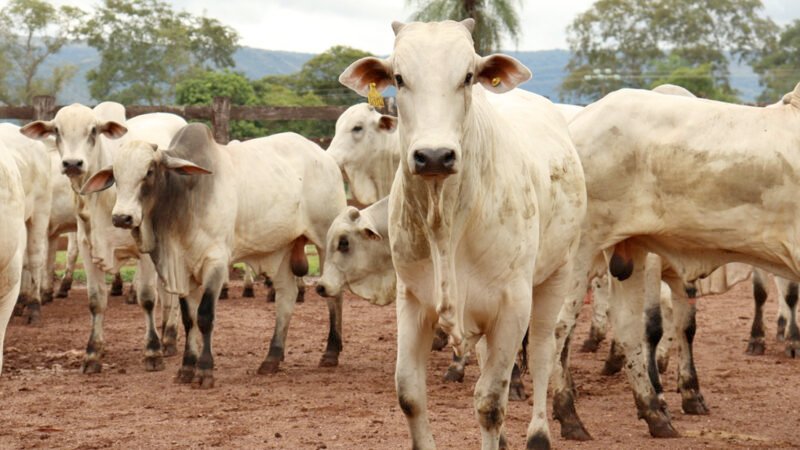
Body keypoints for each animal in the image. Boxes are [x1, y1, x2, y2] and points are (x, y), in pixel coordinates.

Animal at [20, 103, 184, 373]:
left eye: (93, 130)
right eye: (57, 130)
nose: (72, 163)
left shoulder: (145, 249)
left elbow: (147, 298)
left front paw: (152, 351)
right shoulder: (89, 247)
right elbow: (96, 300)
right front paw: (92, 354)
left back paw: (169, 337)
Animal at [81, 124, 347, 387]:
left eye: (149, 171)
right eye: (115, 175)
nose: (121, 218)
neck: (184, 198)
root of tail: (325, 156)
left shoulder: (216, 264)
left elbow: (205, 316)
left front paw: (204, 370)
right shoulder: (183, 271)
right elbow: (189, 319)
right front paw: (187, 367)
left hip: (326, 240)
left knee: (333, 295)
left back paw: (331, 352)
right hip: (280, 248)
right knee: (286, 296)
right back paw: (272, 358)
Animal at [339, 19, 587, 449]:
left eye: (468, 76)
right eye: (399, 78)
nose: (434, 156)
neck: (447, 223)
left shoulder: (513, 304)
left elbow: (490, 402)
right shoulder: (413, 301)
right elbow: (409, 394)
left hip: (558, 274)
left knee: (542, 353)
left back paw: (539, 433)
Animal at [550, 82, 800, 441]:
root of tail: (577, 123)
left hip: (629, 250)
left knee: (626, 328)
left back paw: (654, 414)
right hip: (581, 248)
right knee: (560, 326)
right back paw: (569, 415)